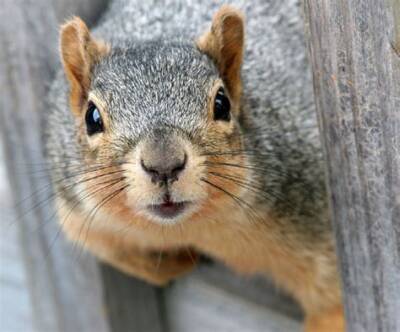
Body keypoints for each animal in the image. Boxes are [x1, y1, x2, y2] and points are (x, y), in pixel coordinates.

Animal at [43, 1, 344, 330]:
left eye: (222, 104)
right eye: (92, 117)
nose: (164, 165)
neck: (190, 227)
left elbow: (332, 305)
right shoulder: (81, 214)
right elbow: (115, 252)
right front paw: (177, 261)